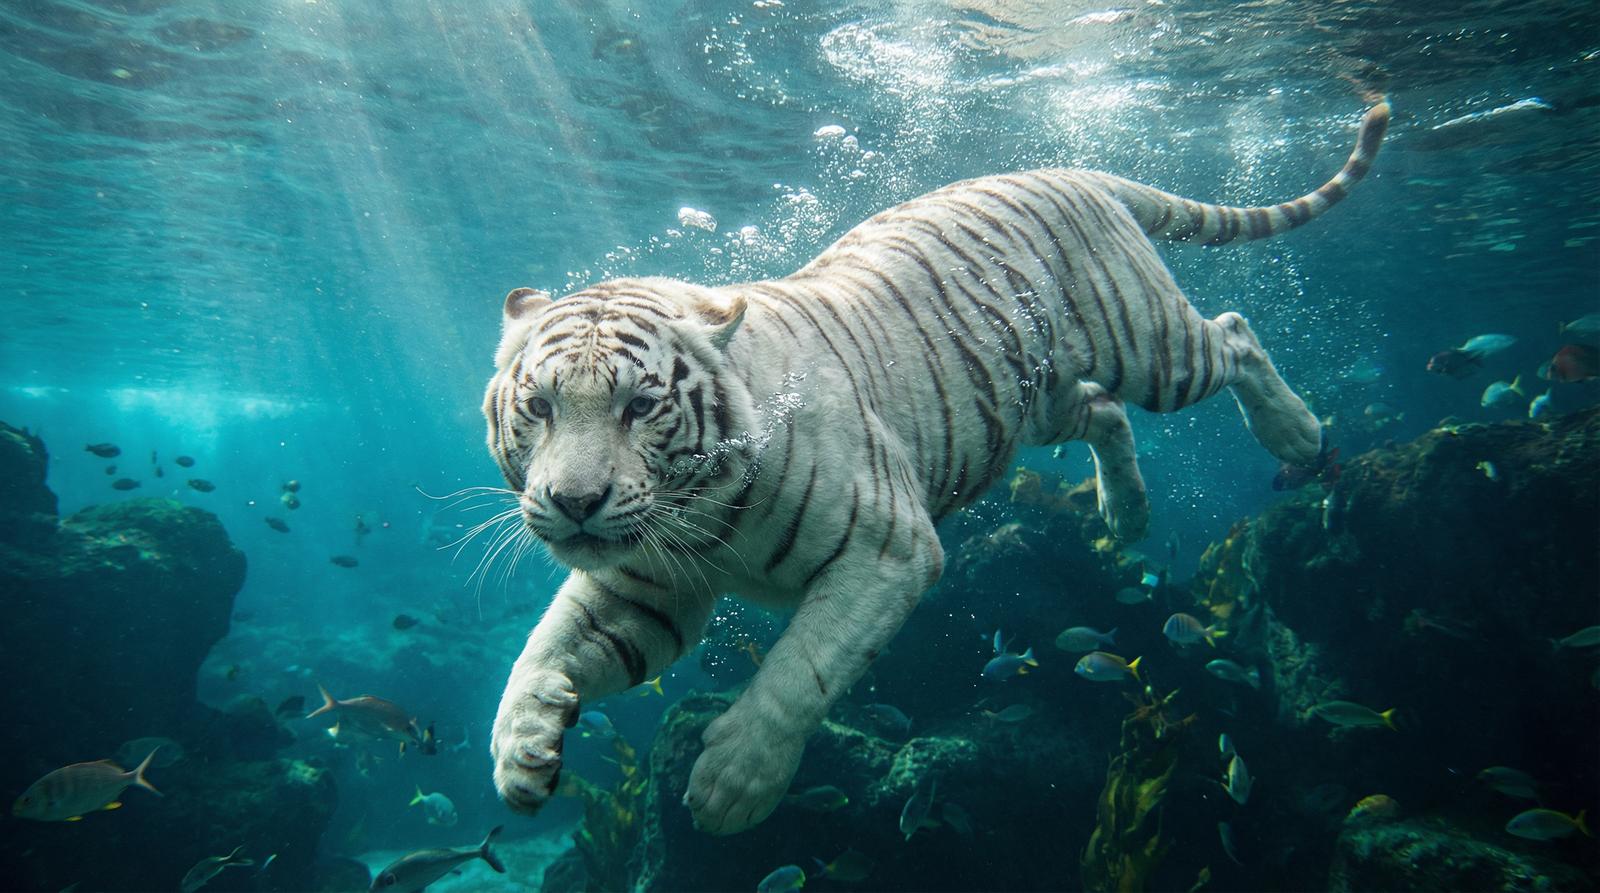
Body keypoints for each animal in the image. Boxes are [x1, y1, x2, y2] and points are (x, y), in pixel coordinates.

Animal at [483, 102, 1388, 834]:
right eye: (540, 407)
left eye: (640, 405)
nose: (574, 500)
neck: (698, 515)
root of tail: (1067, 166)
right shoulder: (649, 586)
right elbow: (542, 649)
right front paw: (520, 752)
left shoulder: (888, 549)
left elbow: (801, 670)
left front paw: (732, 783)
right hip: (1038, 396)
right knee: (1105, 411)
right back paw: (1124, 513)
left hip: (1150, 344)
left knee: (1231, 334)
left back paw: (1298, 434)